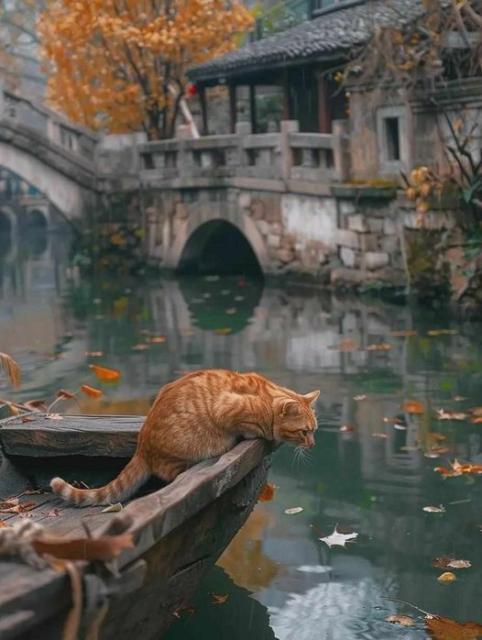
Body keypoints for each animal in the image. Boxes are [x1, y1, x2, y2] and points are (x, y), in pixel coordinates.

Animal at [50, 368, 320, 508]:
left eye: (313, 431)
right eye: (304, 432)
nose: (313, 444)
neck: (266, 396)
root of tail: (142, 448)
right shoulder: (227, 409)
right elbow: (249, 428)